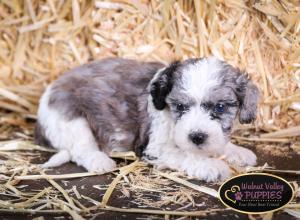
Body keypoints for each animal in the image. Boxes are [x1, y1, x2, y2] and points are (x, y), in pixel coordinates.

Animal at [35, 56, 258, 182]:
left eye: (220, 107)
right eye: (180, 107)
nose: (197, 137)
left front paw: (238, 152)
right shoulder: (155, 148)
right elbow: (186, 155)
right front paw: (211, 166)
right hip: (72, 119)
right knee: (81, 150)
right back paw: (100, 161)